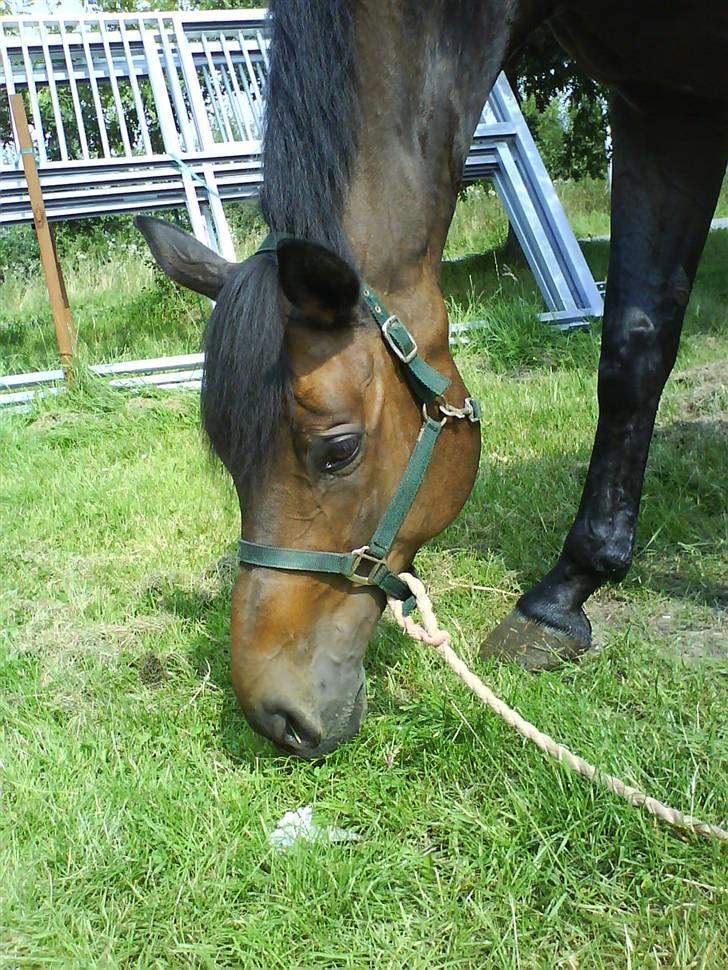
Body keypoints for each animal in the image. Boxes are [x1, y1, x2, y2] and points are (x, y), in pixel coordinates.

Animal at [136, 0, 728, 756]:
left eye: (339, 450)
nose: (275, 716)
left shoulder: (678, 106)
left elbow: (636, 351)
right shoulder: (654, 96)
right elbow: (637, 334)